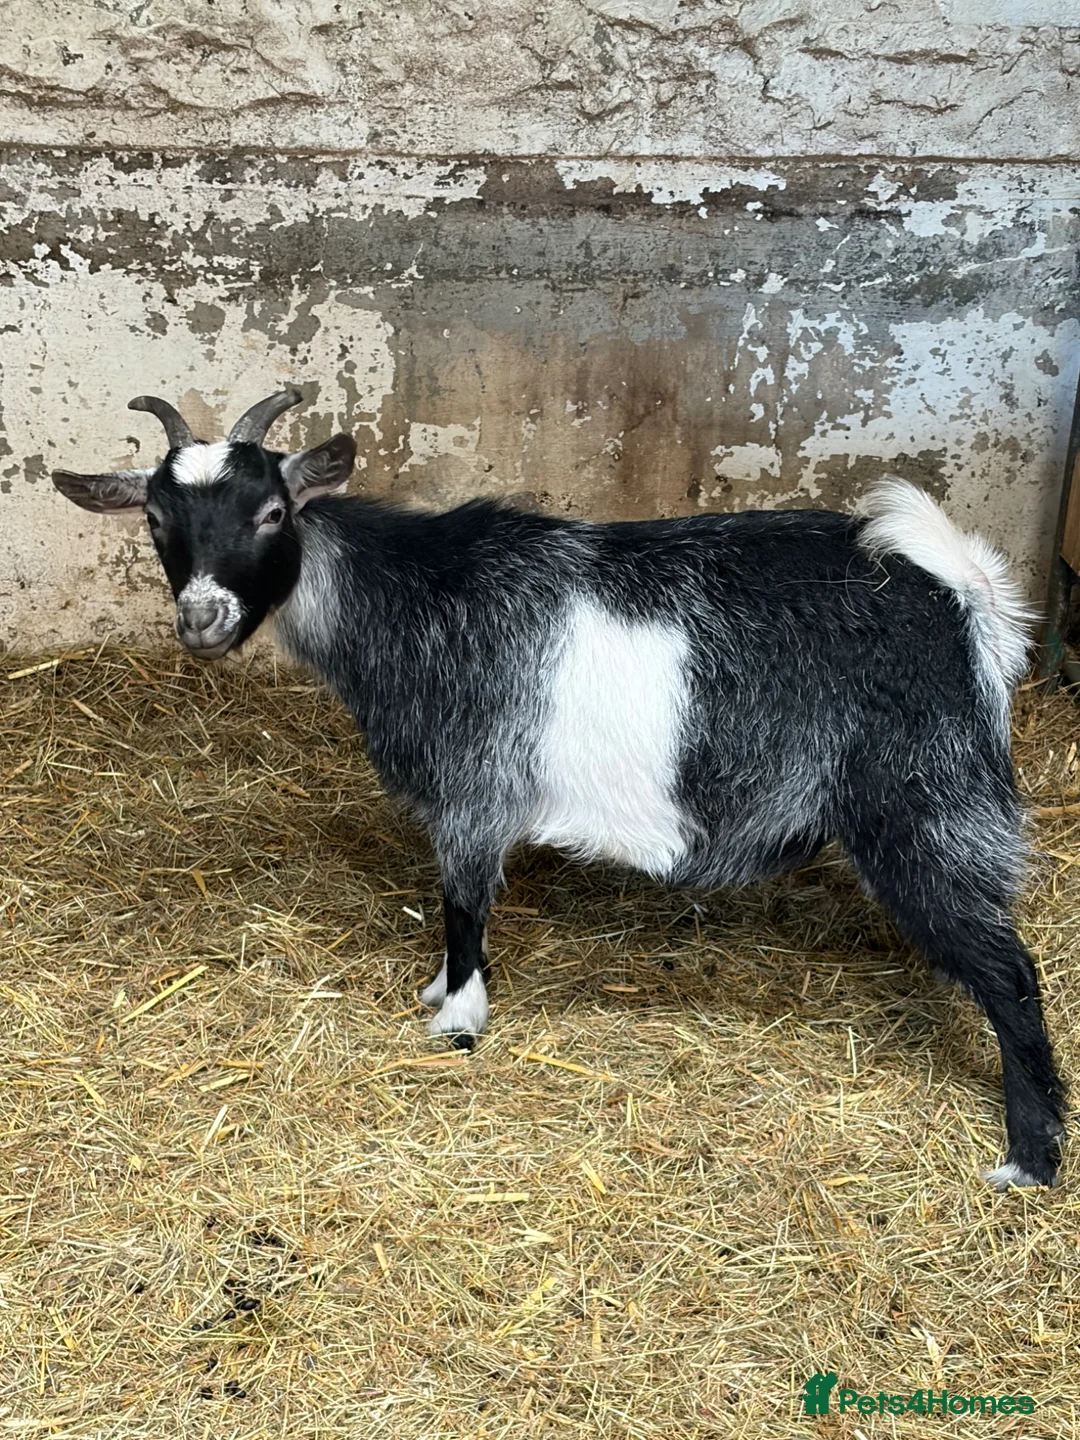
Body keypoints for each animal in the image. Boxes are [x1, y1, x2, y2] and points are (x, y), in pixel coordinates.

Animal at [53, 387, 1065, 1188]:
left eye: (271, 512)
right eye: (155, 521)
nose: (203, 620)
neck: (409, 596)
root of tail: (962, 597)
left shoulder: (473, 790)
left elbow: (463, 904)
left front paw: (457, 1017)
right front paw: (437, 991)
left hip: (929, 805)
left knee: (1012, 976)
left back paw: (1030, 1158)